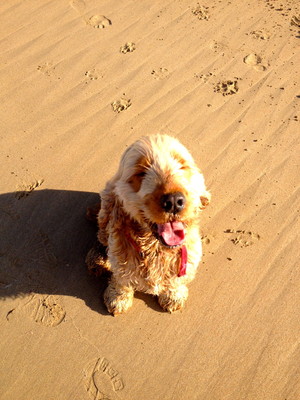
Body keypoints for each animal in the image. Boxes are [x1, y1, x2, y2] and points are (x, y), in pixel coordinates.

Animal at [85, 135, 210, 316]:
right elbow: (121, 280)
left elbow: (175, 283)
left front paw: (173, 296)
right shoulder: (120, 261)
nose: (174, 201)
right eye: (141, 172)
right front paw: (118, 298)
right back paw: (97, 260)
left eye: (182, 166)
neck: (156, 249)